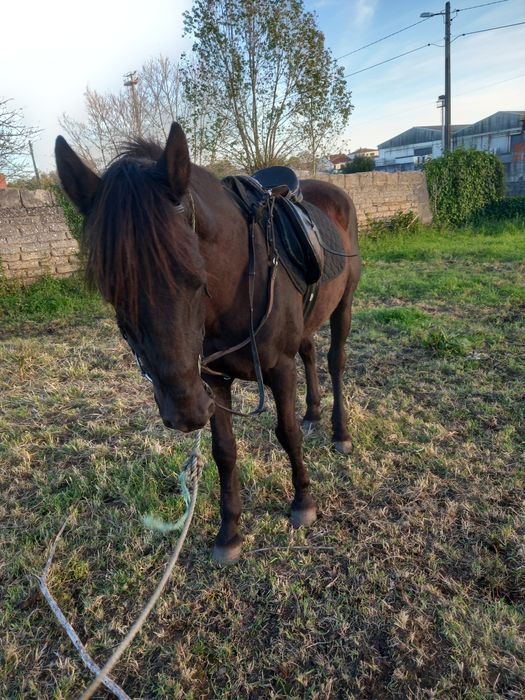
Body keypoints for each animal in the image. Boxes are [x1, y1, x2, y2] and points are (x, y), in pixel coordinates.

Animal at [55, 123, 361, 564]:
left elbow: (286, 432)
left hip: (344, 305)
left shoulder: (278, 368)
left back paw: (340, 432)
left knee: (335, 360)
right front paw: (229, 532)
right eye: (112, 293)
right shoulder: (212, 382)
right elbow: (224, 451)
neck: (240, 286)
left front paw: (303, 501)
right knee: (311, 353)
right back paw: (313, 413)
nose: (185, 413)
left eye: (197, 277)